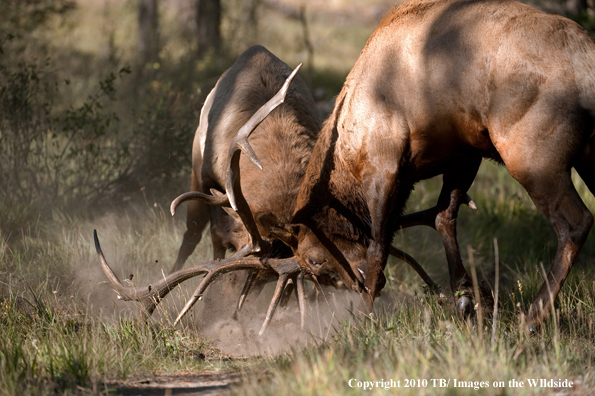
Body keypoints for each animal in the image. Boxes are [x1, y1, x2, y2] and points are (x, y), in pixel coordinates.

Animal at [95, 43, 440, 334]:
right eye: (314, 260)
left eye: (358, 239)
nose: (372, 279)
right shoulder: (214, 187)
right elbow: (217, 247)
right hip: (195, 170)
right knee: (193, 239)